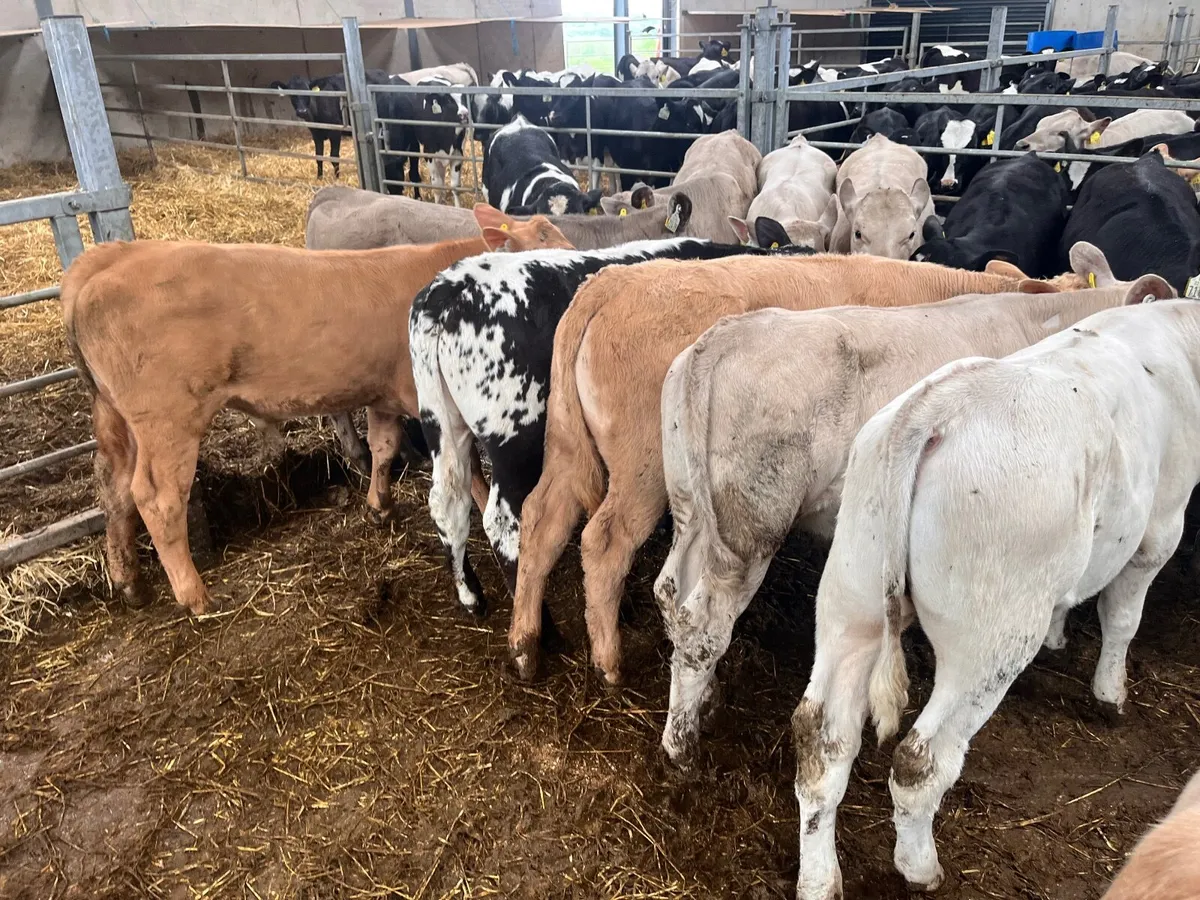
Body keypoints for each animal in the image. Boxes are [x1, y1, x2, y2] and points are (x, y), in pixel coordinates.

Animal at [62, 212, 572, 616]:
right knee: (156, 497)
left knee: (114, 490)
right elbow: (468, 475)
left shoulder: (382, 394)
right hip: (168, 420)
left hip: (114, 417)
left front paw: (379, 506)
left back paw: (129, 581)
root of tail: (109, 260)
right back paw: (194, 594)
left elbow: (384, 447)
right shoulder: (433, 403)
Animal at [409, 238, 809, 617]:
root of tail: (446, 291)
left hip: (442, 421)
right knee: (503, 523)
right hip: (514, 439)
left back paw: (471, 596)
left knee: (448, 504)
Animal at [507, 256, 1093, 683]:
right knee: (604, 542)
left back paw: (525, 646)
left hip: (566, 446)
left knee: (541, 519)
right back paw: (608, 662)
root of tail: (611, 281)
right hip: (642, 468)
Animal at [657, 244, 1137, 764]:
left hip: (691, 510)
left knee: (670, 593)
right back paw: (680, 745)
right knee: (703, 621)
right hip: (751, 529)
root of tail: (725, 335)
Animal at [791, 280, 1189, 900]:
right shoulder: (1161, 529)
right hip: (989, 640)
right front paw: (1111, 695)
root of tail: (937, 408)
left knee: (821, 740)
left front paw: (1060, 638)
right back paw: (920, 867)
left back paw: (819, 879)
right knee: (921, 759)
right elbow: (1123, 619)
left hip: (851, 596)